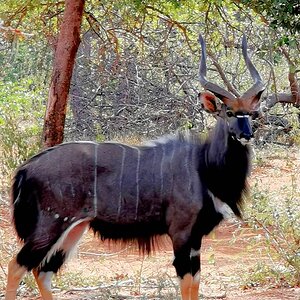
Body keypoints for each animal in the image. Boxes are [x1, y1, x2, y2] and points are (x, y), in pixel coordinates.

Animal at [4, 35, 262, 300]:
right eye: (229, 112)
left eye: (252, 114)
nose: (246, 135)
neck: (204, 167)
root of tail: (26, 168)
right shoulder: (181, 232)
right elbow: (187, 282)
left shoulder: (195, 238)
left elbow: (195, 283)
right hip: (52, 224)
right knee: (17, 265)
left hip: (75, 228)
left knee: (42, 271)